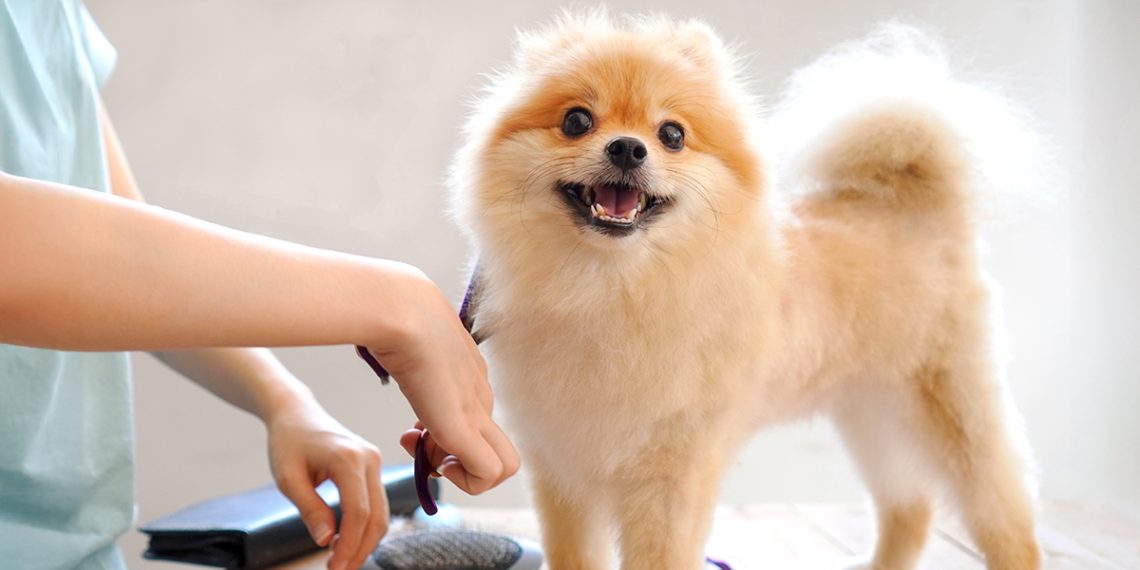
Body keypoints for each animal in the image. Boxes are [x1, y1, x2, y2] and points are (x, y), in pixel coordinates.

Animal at [444, 10, 1044, 570]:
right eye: (575, 120)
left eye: (672, 134)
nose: (627, 149)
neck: (609, 287)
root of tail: (916, 207)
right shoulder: (565, 464)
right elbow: (576, 554)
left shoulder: (674, 474)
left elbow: (660, 555)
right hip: (871, 412)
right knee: (911, 504)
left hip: (953, 410)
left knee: (1004, 511)